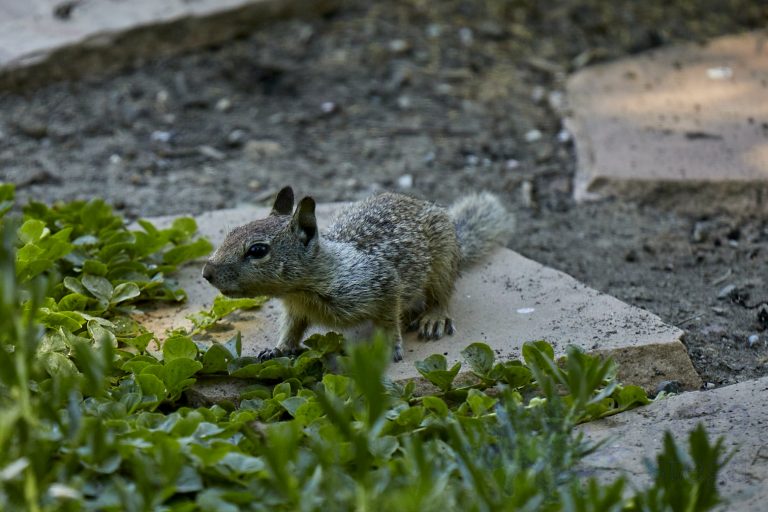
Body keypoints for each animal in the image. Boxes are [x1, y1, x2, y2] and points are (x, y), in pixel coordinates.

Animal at [201, 186, 513, 361]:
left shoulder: (384, 283)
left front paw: (390, 346)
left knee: (442, 294)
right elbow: (291, 330)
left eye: (257, 250)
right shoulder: (295, 310)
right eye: (230, 232)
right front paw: (277, 349)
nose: (207, 271)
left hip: (443, 262)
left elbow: (388, 319)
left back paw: (432, 317)